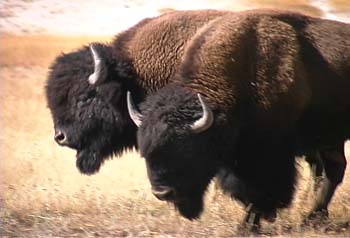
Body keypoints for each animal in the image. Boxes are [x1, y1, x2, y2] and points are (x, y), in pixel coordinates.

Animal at [127, 9, 348, 229]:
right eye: (146, 153)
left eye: (187, 151)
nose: (162, 193)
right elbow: (244, 192)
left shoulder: (270, 155)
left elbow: (263, 191)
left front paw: (250, 225)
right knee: (335, 169)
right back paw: (314, 216)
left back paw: (312, 217)